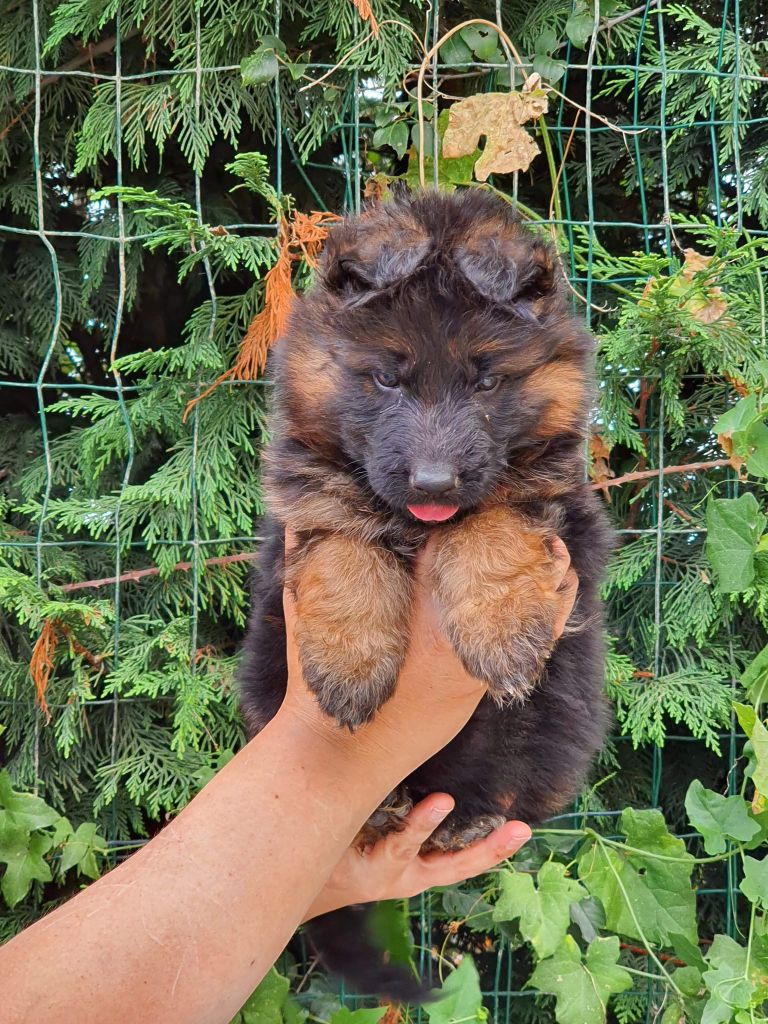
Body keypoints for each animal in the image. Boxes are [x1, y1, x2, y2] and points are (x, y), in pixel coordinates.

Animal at [240, 190, 614, 999]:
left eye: (486, 380)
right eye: (387, 378)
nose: (435, 485)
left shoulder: (561, 511)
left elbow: (494, 523)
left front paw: (503, 633)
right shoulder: (310, 503)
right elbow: (345, 547)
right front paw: (351, 667)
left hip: (546, 725)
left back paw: (464, 818)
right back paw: (383, 805)